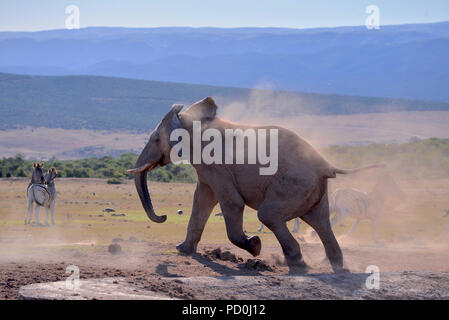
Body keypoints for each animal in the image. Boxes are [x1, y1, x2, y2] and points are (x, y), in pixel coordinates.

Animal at [128, 97, 384, 272]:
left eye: (156, 139)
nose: (163, 217)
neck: (191, 119)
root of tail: (326, 165)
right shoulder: (209, 171)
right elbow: (201, 201)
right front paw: (182, 250)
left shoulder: (217, 166)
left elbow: (231, 203)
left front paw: (255, 246)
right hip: (313, 191)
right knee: (320, 222)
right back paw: (339, 268)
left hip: (294, 185)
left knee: (269, 215)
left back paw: (297, 263)